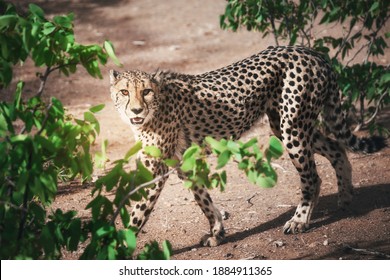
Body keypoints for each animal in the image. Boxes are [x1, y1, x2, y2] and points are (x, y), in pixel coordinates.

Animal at [109, 46, 384, 247]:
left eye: (146, 91)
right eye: (124, 92)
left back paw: (300, 220)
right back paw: (345, 197)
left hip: (292, 127)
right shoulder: (182, 161)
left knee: (312, 177)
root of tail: (312, 53)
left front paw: (117, 246)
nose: (136, 110)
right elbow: (203, 198)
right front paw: (217, 232)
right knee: (336, 147)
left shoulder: (156, 169)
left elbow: (138, 213)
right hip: (285, 124)